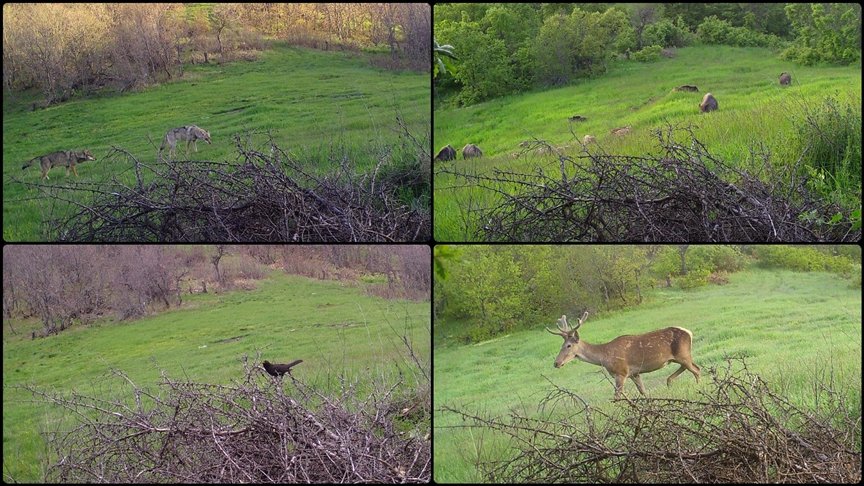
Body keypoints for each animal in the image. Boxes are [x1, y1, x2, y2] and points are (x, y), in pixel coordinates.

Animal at [548, 312, 704, 398]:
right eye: (561, 345)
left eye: (568, 345)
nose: (556, 363)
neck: (605, 357)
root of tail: (689, 332)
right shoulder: (634, 373)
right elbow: (643, 392)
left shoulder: (621, 372)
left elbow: (617, 397)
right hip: (679, 357)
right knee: (689, 367)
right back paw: (669, 381)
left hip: (683, 354)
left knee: (696, 369)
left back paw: (699, 388)